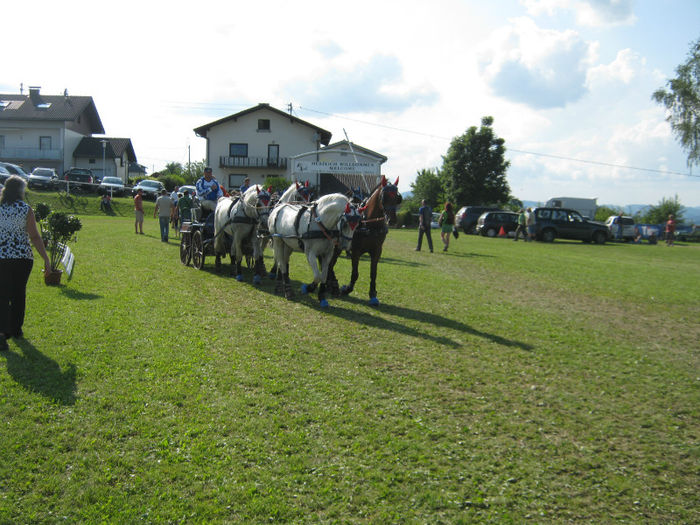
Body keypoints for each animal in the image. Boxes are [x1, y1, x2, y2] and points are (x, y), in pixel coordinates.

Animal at [334, 176, 402, 308]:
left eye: (397, 198)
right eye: (384, 197)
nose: (392, 220)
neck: (369, 224)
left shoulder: (377, 251)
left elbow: (373, 273)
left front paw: (373, 294)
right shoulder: (356, 251)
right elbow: (355, 273)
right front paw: (347, 289)